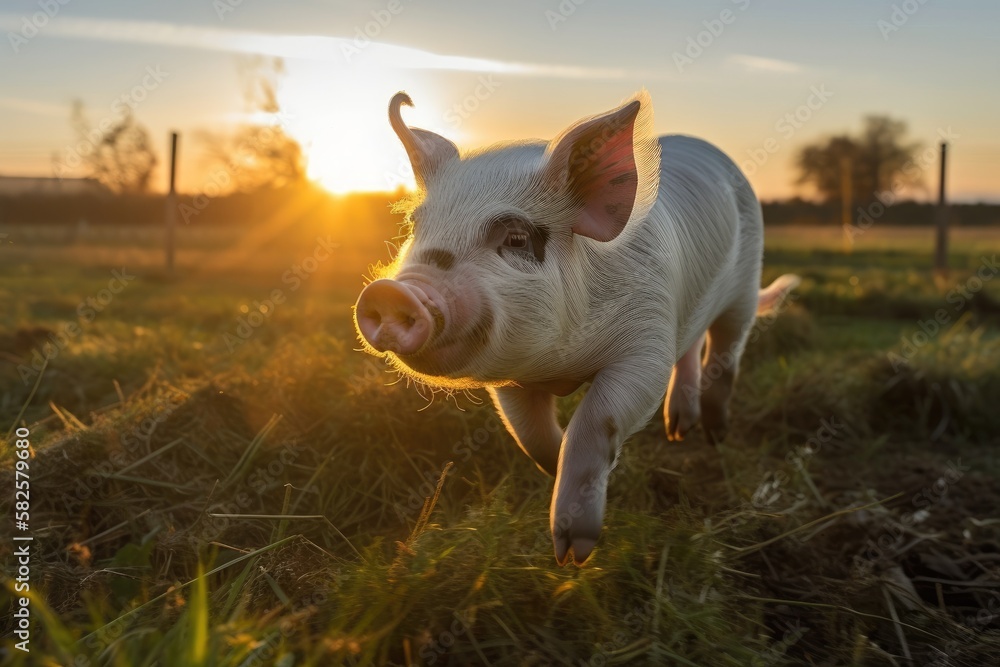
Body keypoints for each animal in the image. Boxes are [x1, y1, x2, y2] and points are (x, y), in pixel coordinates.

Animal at [356, 91, 800, 568]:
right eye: (415, 227)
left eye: (516, 239)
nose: (389, 292)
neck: (561, 367)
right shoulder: (511, 377)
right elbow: (531, 436)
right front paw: (559, 493)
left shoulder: (646, 342)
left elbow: (594, 421)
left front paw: (573, 556)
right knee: (693, 347)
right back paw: (678, 430)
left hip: (746, 284)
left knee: (726, 348)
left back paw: (715, 435)